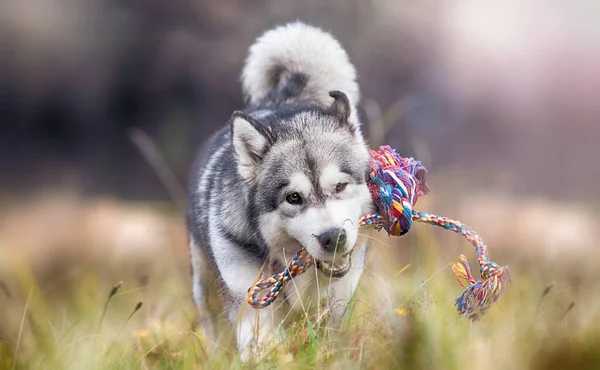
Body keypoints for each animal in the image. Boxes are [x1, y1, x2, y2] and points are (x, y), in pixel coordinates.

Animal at [188, 21, 376, 362]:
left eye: (340, 186)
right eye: (293, 198)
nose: (333, 238)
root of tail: (277, 104)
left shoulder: (335, 306)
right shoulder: (251, 303)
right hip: (206, 289)